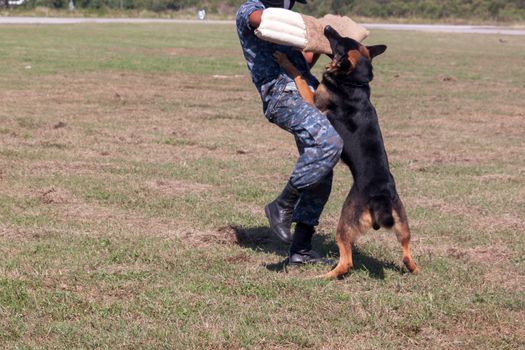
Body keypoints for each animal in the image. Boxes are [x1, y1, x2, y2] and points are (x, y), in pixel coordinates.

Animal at [274, 26, 418, 278]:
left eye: (339, 42)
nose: (327, 27)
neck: (354, 83)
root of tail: (380, 196)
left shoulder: (314, 102)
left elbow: (299, 77)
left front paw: (285, 59)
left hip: (345, 222)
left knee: (346, 261)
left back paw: (323, 276)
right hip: (402, 222)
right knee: (407, 250)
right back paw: (413, 267)